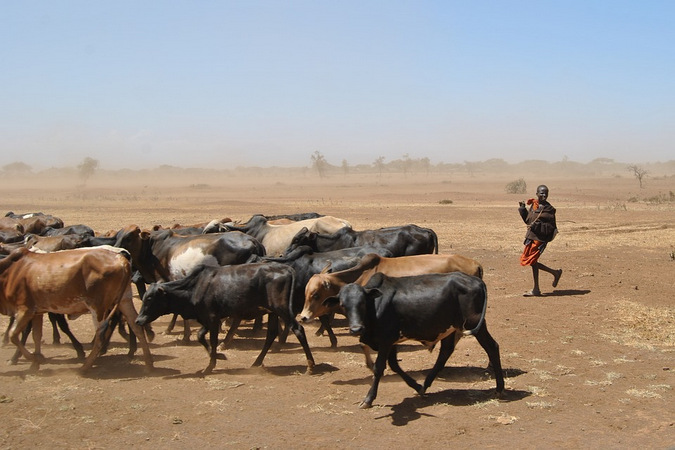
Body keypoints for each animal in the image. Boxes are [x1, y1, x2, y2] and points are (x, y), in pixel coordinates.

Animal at [0, 244, 153, 370]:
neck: (12, 271)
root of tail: (121, 259)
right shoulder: (38, 311)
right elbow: (36, 335)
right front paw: (35, 362)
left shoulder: (25, 309)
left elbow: (15, 334)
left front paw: (29, 358)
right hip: (124, 300)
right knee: (135, 325)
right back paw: (148, 363)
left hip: (97, 307)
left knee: (101, 334)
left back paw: (85, 367)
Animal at [137, 262, 316, 374]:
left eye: (150, 298)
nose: (138, 320)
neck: (195, 286)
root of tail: (286, 269)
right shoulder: (208, 319)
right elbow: (200, 336)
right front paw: (218, 356)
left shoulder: (212, 318)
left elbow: (212, 340)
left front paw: (210, 366)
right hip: (272, 312)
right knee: (271, 334)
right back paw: (256, 363)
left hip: (282, 309)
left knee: (298, 329)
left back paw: (311, 366)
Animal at [328, 270, 508, 408]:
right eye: (343, 304)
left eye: (363, 303)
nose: (356, 329)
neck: (376, 307)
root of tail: (476, 280)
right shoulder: (392, 342)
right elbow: (394, 365)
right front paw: (416, 385)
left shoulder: (385, 341)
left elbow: (379, 368)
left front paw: (368, 399)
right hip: (451, 328)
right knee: (445, 353)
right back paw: (425, 385)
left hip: (476, 325)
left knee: (492, 347)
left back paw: (499, 388)